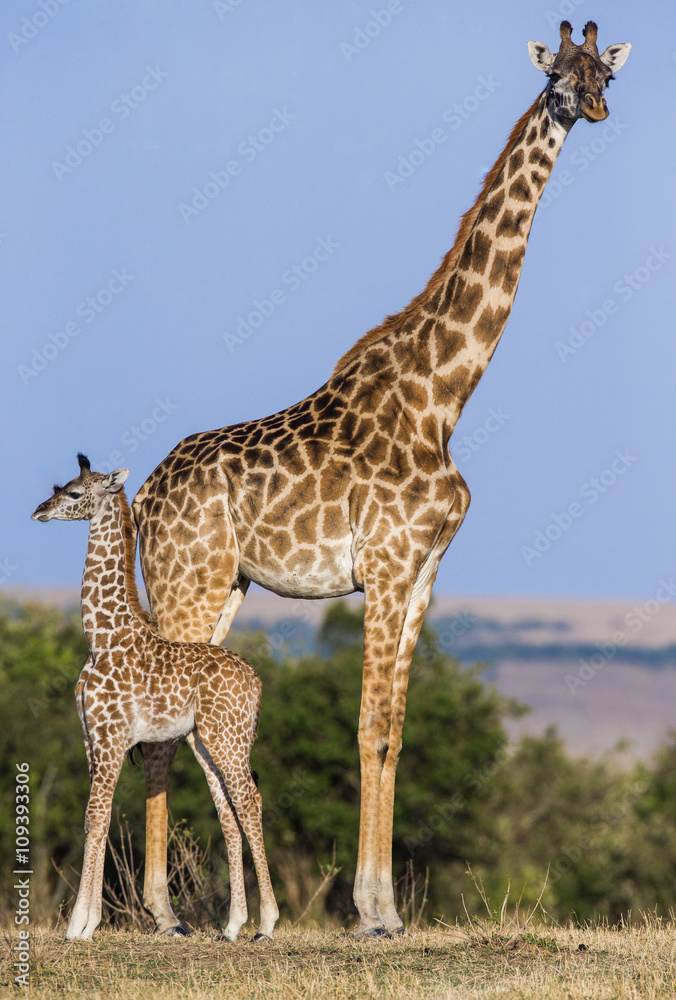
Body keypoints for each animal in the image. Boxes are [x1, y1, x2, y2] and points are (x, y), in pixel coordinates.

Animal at [32, 454, 278, 943]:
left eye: (73, 492)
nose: (39, 511)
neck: (101, 637)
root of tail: (256, 681)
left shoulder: (111, 739)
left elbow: (94, 817)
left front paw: (78, 926)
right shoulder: (92, 740)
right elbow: (100, 819)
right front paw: (87, 923)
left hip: (227, 740)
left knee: (249, 802)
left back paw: (267, 924)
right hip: (207, 742)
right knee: (229, 811)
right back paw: (232, 926)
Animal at [132, 22, 630, 937]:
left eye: (604, 75)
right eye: (556, 79)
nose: (595, 110)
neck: (444, 397)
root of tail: (144, 496)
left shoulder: (425, 574)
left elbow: (396, 728)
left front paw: (386, 903)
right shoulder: (387, 569)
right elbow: (367, 727)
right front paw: (371, 912)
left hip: (223, 588)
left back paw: (175, 909)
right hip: (188, 580)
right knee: (161, 717)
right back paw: (163, 913)